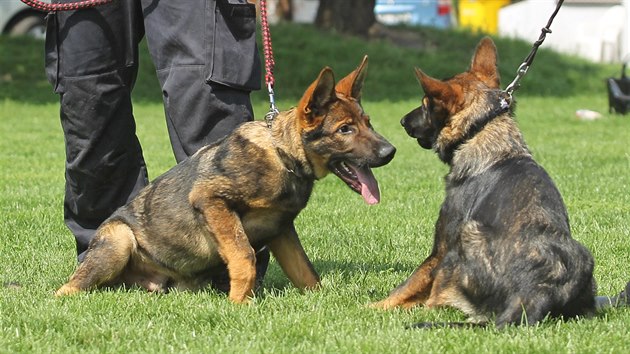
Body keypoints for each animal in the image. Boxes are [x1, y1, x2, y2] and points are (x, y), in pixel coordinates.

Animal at [56, 56, 398, 302]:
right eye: (345, 130)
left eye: (367, 123)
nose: (391, 151)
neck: (282, 156)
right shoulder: (212, 201)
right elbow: (244, 256)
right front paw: (239, 303)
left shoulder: (281, 229)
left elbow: (306, 272)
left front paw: (321, 302)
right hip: (119, 240)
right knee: (67, 288)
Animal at [370, 37, 628, 328]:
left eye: (426, 105)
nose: (402, 121)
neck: (484, 133)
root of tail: (536, 291)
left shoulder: (442, 246)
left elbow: (410, 283)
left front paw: (375, 306)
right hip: (583, 256)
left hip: (465, 237)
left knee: (435, 303)